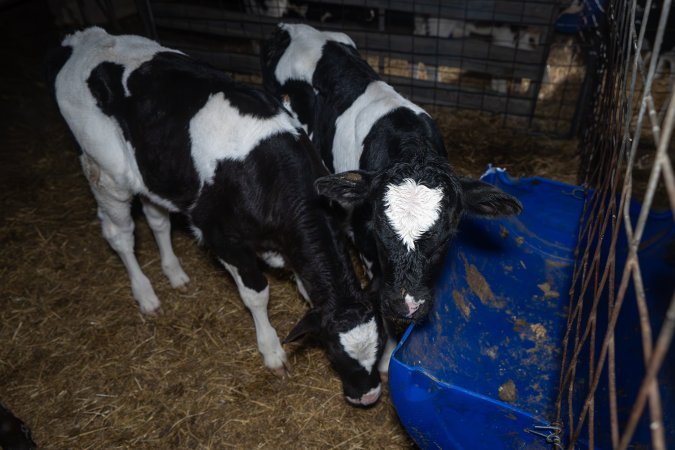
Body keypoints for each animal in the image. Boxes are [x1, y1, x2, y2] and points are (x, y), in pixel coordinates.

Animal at [48, 27, 386, 406]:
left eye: (379, 346)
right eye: (333, 353)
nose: (370, 396)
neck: (270, 173)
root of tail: (84, 40)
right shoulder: (223, 238)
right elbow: (257, 295)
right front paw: (272, 352)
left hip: (155, 174)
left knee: (156, 220)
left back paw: (175, 274)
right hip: (106, 173)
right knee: (119, 235)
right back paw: (146, 295)